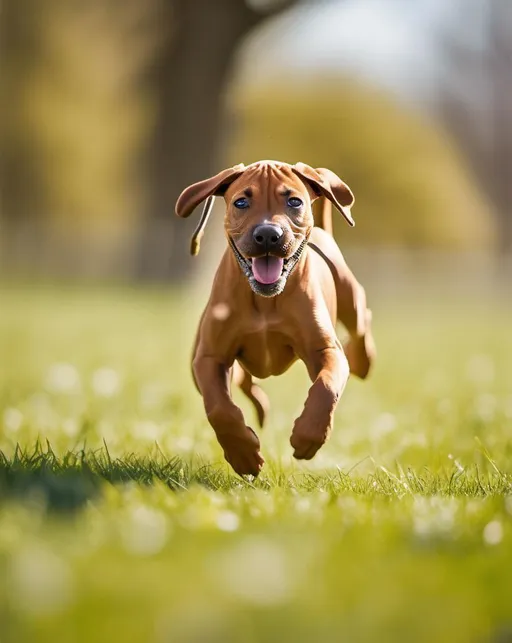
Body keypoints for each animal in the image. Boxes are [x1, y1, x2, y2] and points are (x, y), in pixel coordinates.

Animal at [177, 161, 376, 478]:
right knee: (244, 384)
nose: (269, 234)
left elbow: (326, 387)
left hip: (350, 297)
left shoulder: (325, 351)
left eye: (294, 201)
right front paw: (244, 454)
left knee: (360, 324)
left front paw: (308, 437)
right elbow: (220, 407)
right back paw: (261, 411)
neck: (266, 302)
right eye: (241, 202)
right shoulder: (210, 357)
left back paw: (362, 361)